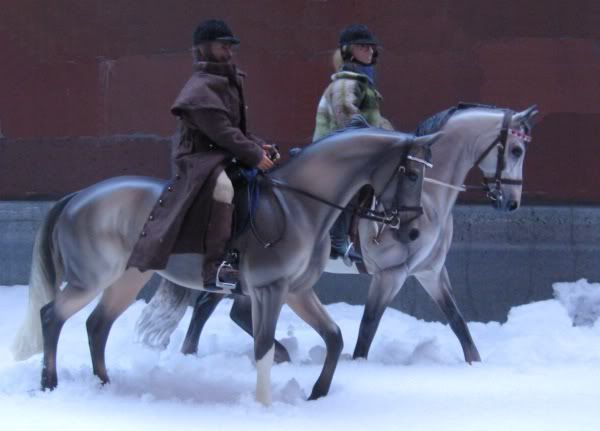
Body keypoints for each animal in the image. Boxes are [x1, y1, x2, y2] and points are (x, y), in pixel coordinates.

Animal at [11, 121, 438, 404]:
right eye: (411, 173)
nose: (414, 232)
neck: (298, 204)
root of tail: (78, 196)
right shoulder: (269, 290)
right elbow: (263, 345)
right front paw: (264, 405)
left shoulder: (297, 291)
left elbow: (333, 337)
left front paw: (317, 394)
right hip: (91, 279)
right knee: (52, 316)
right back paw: (49, 385)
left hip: (125, 281)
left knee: (97, 325)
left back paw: (104, 384)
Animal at [137, 104, 540, 364]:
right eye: (516, 149)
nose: (511, 203)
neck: (429, 195)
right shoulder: (391, 275)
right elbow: (368, 326)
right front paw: (357, 363)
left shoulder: (430, 272)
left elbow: (458, 322)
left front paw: (476, 364)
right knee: (211, 306)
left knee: (219, 307)